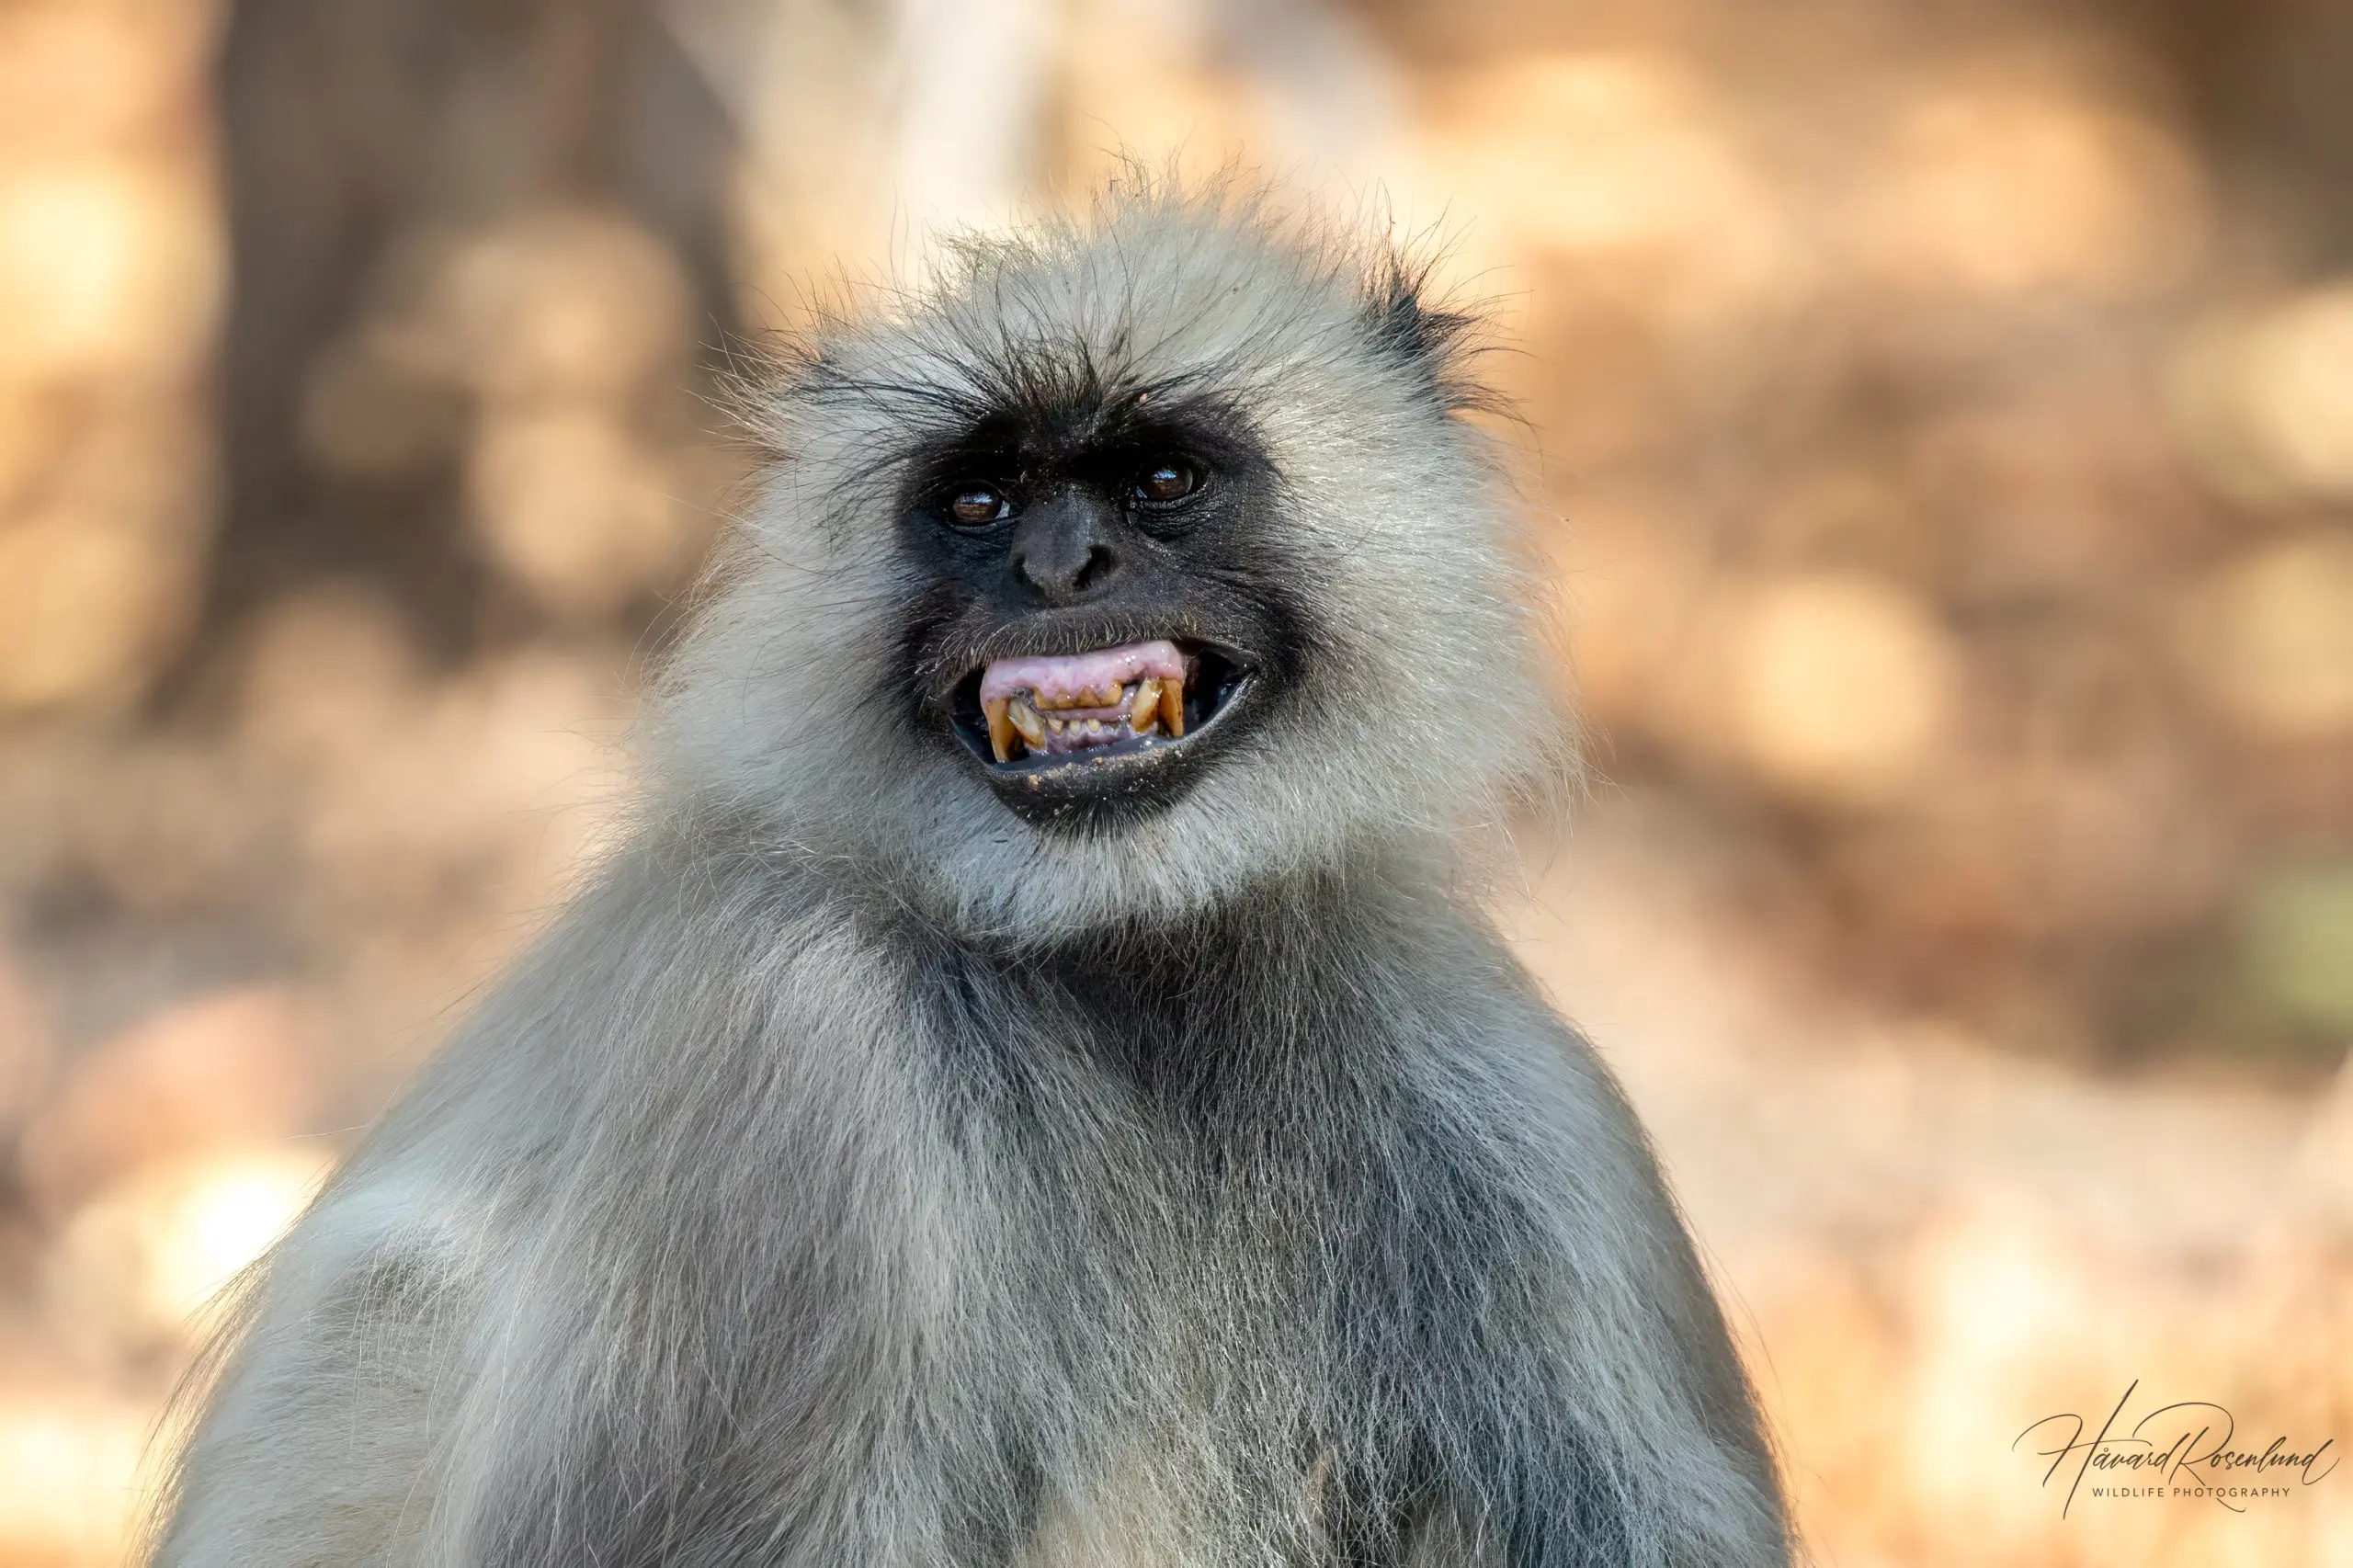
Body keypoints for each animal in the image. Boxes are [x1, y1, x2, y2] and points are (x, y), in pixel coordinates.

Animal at [156, 183, 1788, 1562]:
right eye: (981, 502)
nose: (1062, 567)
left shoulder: (1513, 1097)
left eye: (1162, 477)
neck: (1123, 972)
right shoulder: (794, 1034)